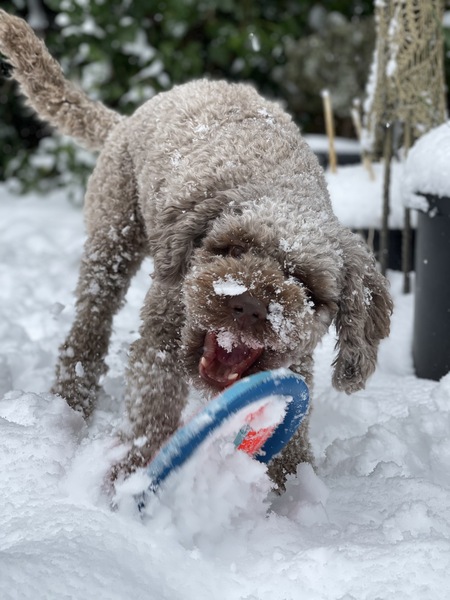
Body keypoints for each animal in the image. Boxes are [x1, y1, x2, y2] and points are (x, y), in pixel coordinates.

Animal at [0, 11, 394, 492]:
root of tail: (127, 118)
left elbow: (292, 423)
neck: (281, 187)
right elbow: (153, 405)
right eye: (231, 248)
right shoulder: (165, 330)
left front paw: (294, 488)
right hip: (112, 240)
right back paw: (71, 403)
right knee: (89, 327)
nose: (248, 305)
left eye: (305, 283)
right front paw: (131, 479)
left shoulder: (293, 359)